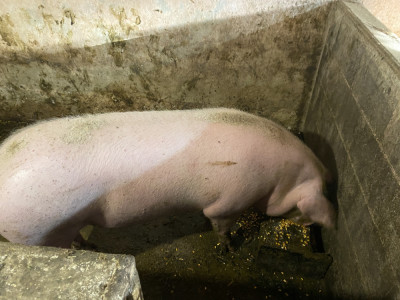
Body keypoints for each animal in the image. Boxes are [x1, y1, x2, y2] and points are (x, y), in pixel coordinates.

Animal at [0, 108, 336, 248]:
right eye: (302, 209)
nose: (314, 226)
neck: (282, 179)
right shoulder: (233, 198)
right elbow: (221, 223)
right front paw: (228, 248)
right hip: (37, 232)